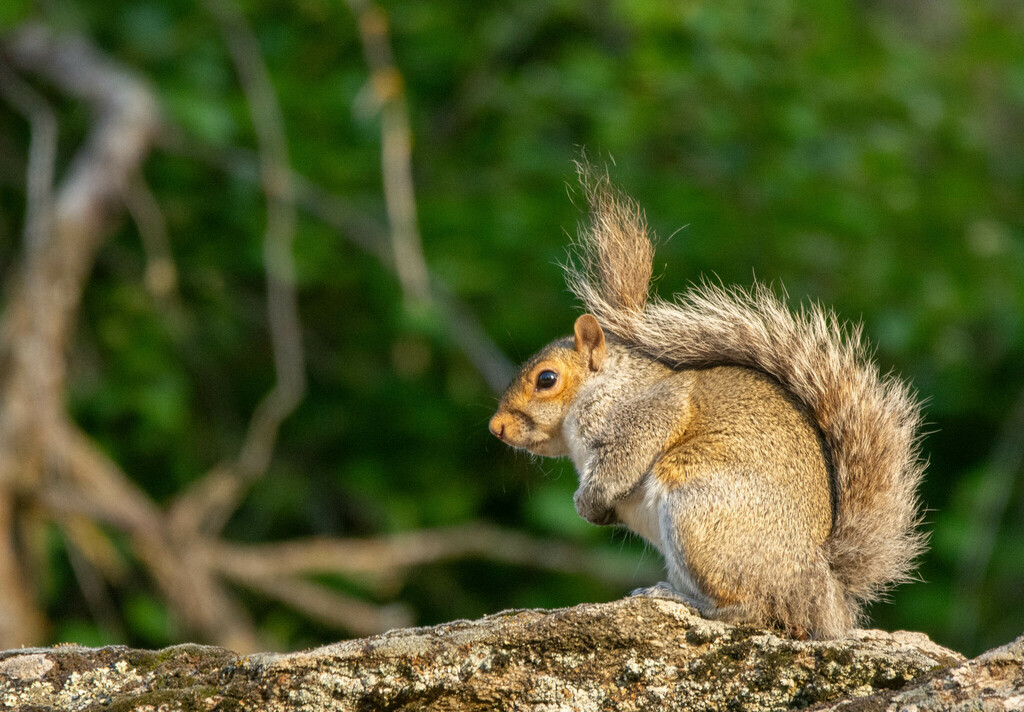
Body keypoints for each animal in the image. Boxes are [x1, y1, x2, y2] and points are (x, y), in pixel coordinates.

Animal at [487, 171, 929, 639]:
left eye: (546, 379)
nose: (496, 427)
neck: (603, 388)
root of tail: (817, 587)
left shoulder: (647, 413)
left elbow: (622, 462)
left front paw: (588, 502)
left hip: (697, 511)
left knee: (749, 609)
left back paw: (679, 599)